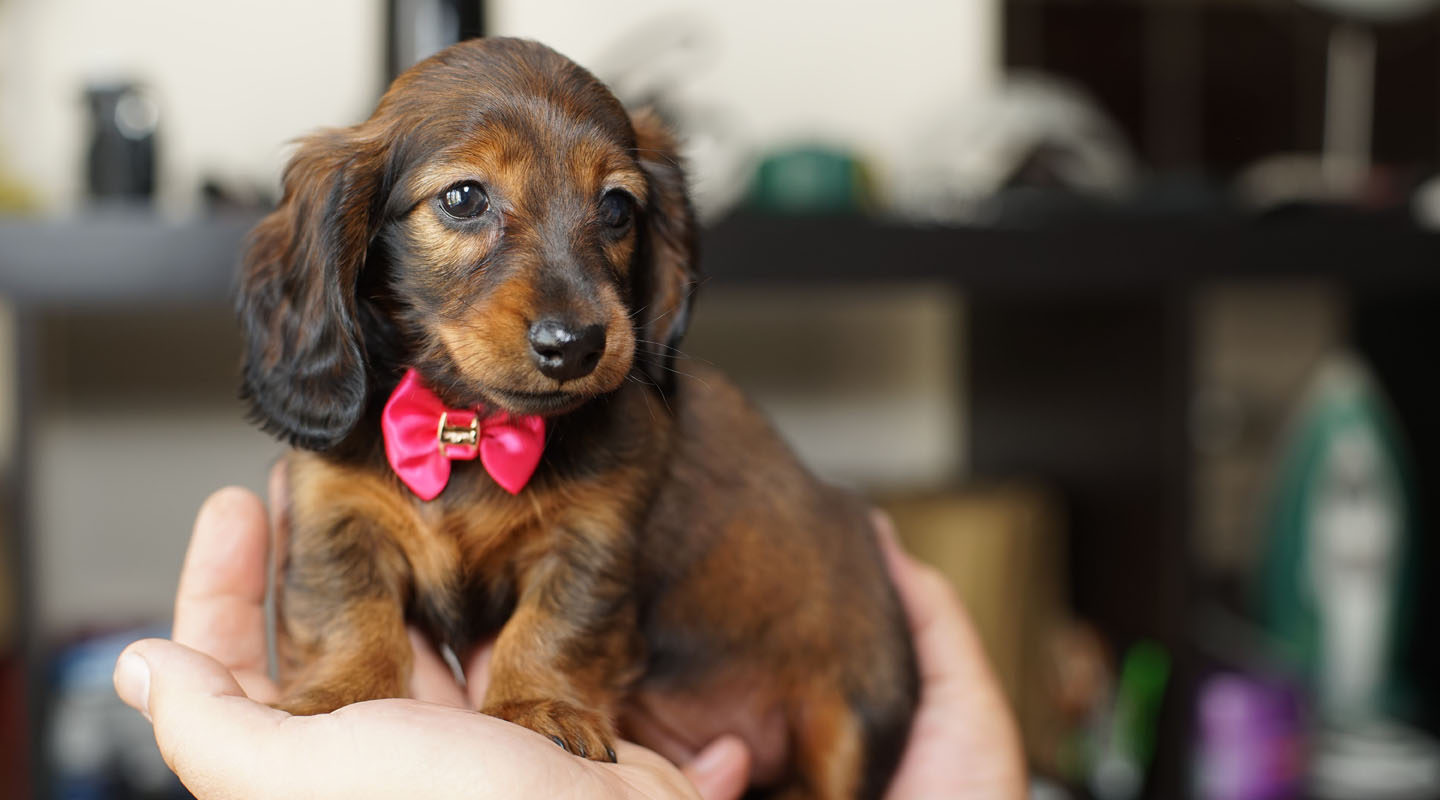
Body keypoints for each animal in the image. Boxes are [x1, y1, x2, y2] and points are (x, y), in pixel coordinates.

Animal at [238, 37, 916, 799]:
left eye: (618, 207)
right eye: (464, 197)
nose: (577, 345)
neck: (470, 426)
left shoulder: (593, 535)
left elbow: (557, 624)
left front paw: (538, 707)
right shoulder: (336, 511)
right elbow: (348, 609)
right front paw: (340, 694)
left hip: (854, 718)